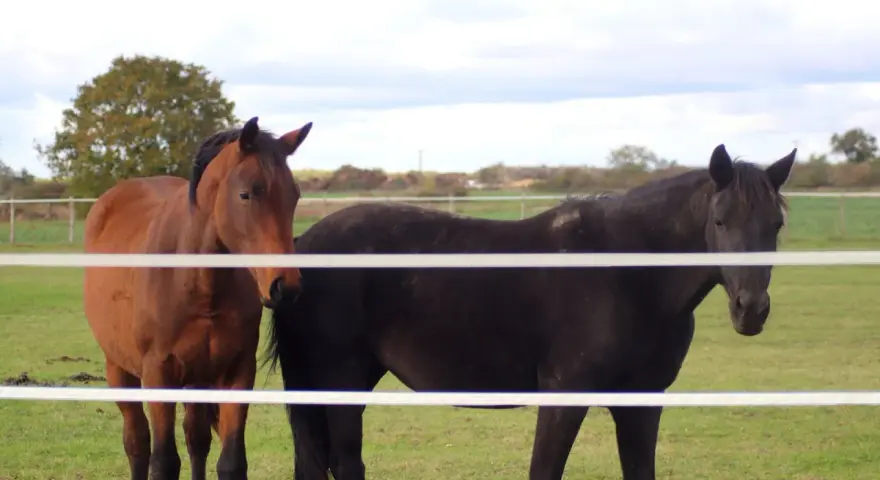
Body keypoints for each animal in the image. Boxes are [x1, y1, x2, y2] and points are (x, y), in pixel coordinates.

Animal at [83, 116, 312, 480]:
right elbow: (163, 461)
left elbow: (230, 461)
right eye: (246, 194)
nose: (285, 286)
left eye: (294, 196)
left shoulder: (236, 373)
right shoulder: (158, 375)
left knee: (196, 438)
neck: (196, 284)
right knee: (137, 442)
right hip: (119, 369)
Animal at [266, 143, 796, 480]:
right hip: (339, 380)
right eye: (720, 221)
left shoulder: (642, 402)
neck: (627, 273)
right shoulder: (564, 397)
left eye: (775, 224)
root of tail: (302, 247)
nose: (751, 310)